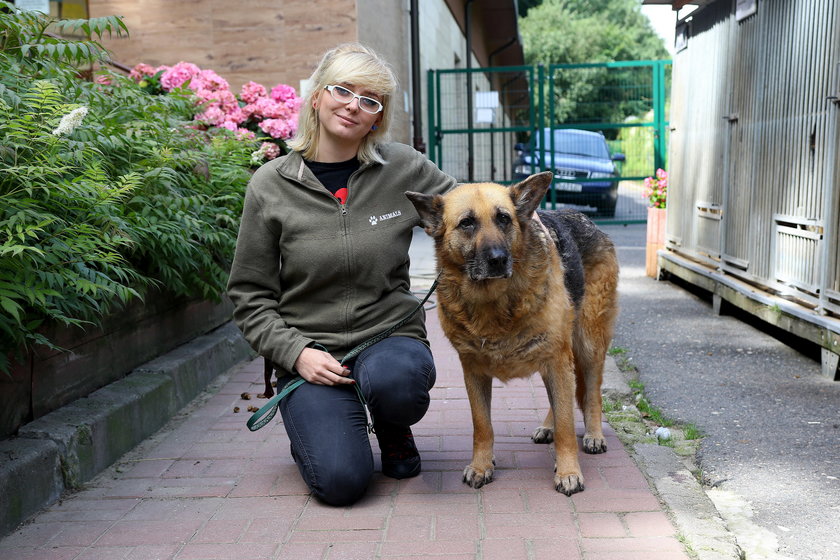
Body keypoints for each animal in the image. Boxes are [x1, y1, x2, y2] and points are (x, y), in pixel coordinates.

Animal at [406, 172, 616, 494]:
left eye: (504, 219)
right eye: (467, 223)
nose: (497, 259)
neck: (493, 303)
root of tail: (586, 219)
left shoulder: (557, 360)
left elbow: (567, 425)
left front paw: (568, 471)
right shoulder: (474, 371)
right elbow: (482, 426)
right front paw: (482, 465)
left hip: (587, 344)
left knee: (590, 392)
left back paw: (593, 434)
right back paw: (548, 426)